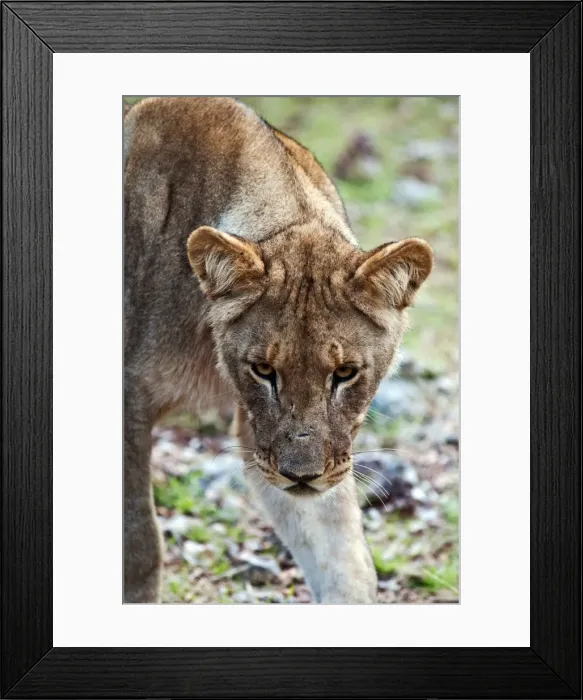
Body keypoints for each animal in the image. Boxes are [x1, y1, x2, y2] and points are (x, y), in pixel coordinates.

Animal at [124, 97, 433, 603]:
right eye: (263, 370)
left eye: (344, 373)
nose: (301, 476)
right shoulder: (129, 405)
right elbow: (139, 545)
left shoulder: (275, 440)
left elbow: (344, 561)